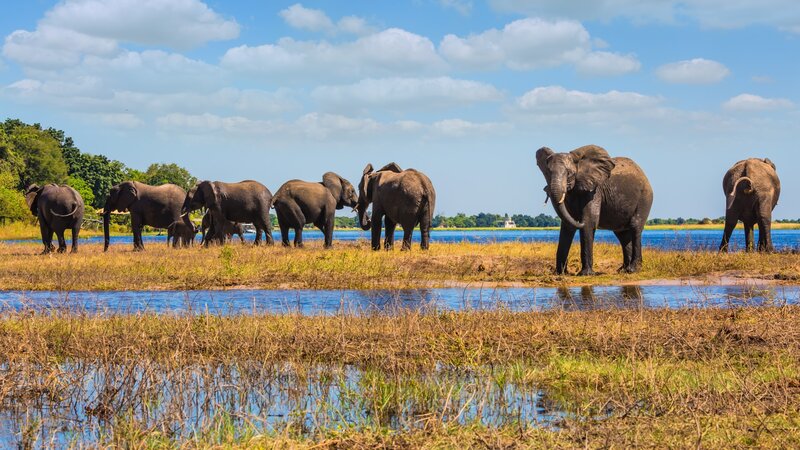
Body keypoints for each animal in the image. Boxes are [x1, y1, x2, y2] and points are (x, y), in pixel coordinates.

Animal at [536, 146, 652, 276]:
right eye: (547, 172)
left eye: (569, 173)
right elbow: (567, 225)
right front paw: (560, 274)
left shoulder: (594, 190)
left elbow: (589, 221)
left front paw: (585, 274)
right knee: (622, 234)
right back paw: (623, 270)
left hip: (644, 198)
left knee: (635, 226)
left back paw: (633, 270)